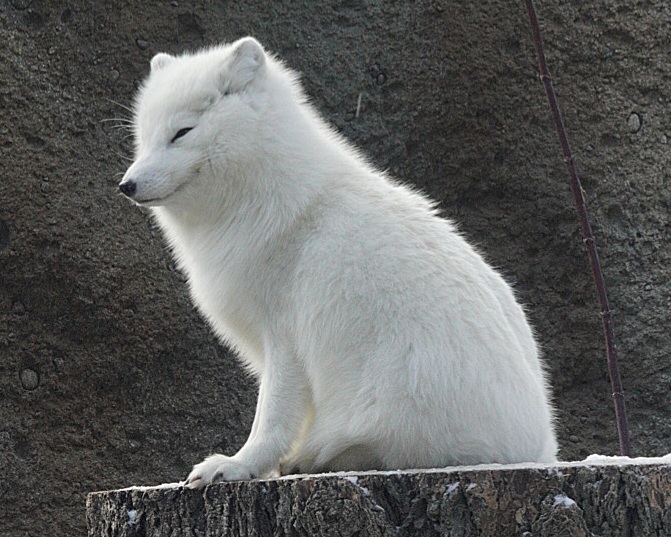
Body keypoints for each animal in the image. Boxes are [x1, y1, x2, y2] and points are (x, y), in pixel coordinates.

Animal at [118, 37, 558, 488]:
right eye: (144, 138)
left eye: (182, 132)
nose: (126, 185)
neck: (269, 195)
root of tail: (542, 447)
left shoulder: (284, 338)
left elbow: (271, 417)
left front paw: (238, 465)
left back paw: (319, 457)